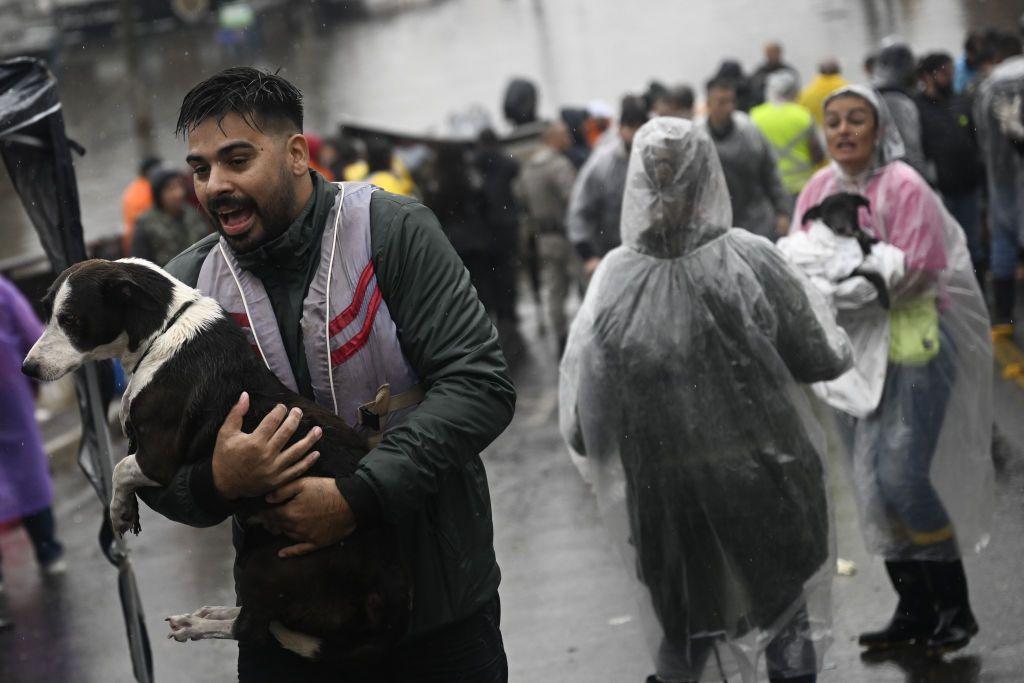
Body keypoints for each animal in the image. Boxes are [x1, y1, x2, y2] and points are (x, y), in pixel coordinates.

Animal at [19, 255, 407, 663]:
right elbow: (123, 467)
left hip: (267, 561)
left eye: (72, 320)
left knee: (253, 627)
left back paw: (198, 624)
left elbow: (120, 468)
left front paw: (120, 510)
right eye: (46, 311)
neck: (162, 330)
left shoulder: (157, 458)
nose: (27, 368)